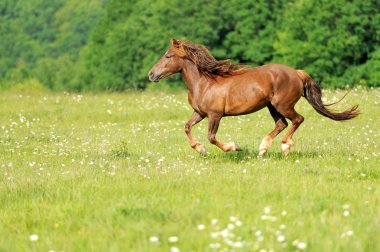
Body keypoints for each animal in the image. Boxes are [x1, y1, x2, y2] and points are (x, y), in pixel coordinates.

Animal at [147, 38, 358, 157]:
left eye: (168, 56)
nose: (151, 74)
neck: (204, 83)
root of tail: (297, 73)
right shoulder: (200, 113)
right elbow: (187, 127)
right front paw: (200, 149)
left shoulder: (215, 115)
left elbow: (212, 137)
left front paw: (234, 147)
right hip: (272, 106)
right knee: (282, 124)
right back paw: (263, 149)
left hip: (283, 105)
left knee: (297, 119)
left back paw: (285, 147)